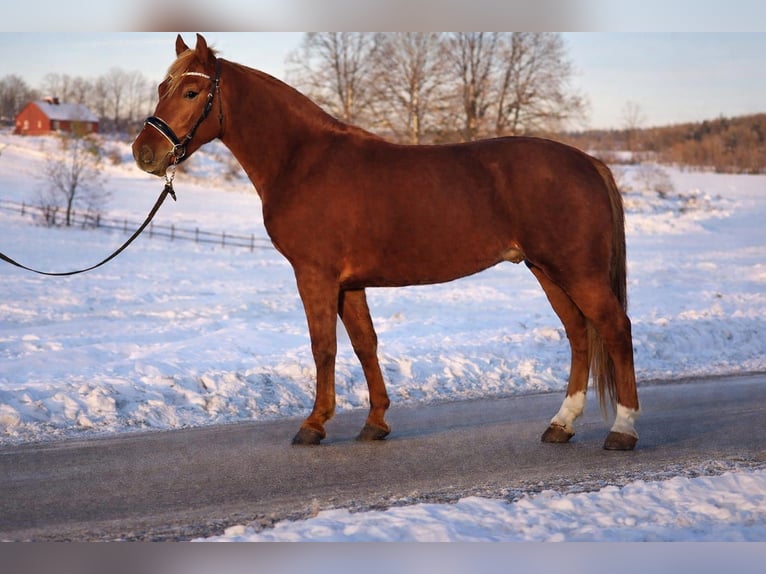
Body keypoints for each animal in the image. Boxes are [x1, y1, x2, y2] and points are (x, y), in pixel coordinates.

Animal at [132, 34, 640, 450]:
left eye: (192, 92)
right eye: (162, 88)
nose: (144, 153)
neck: (303, 160)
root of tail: (589, 162)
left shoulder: (315, 276)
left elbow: (323, 346)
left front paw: (313, 425)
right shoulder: (350, 283)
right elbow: (365, 344)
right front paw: (375, 422)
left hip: (577, 271)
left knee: (615, 329)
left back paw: (623, 429)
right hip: (548, 270)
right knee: (579, 334)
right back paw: (561, 425)